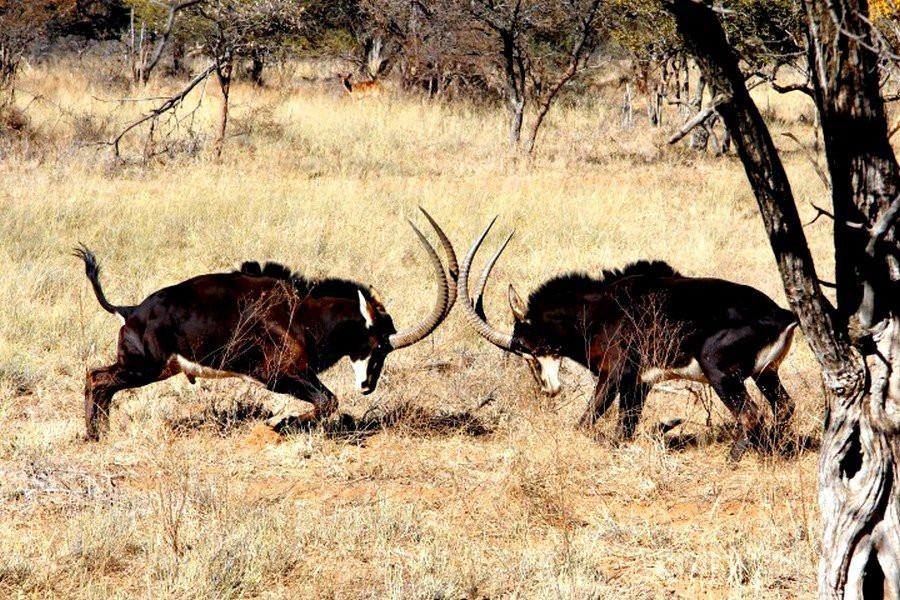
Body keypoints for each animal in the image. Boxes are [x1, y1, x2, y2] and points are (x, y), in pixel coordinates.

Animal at [74, 210, 458, 440]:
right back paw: (95, 436)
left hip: (160, 368)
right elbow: (328, 400)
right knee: (96, 378)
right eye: (378, 344)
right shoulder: (278, 375)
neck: (304, 314)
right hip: (145, 367)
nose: (367, 386)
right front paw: (279, 424)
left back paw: (100, 434)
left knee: (102, 383)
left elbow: (328, 402)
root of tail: (130, 311)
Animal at [460, 220, 800, 464]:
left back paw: (732, 460)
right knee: (784, 406)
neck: (595, 312)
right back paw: (774, 449)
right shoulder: (639, 384)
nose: (548, 389)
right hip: (765, 374)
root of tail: (782, 314)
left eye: (524, 348)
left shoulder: (614, 374)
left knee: (751, 415)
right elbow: (625, 428)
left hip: (718, 370)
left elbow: (586, 423)